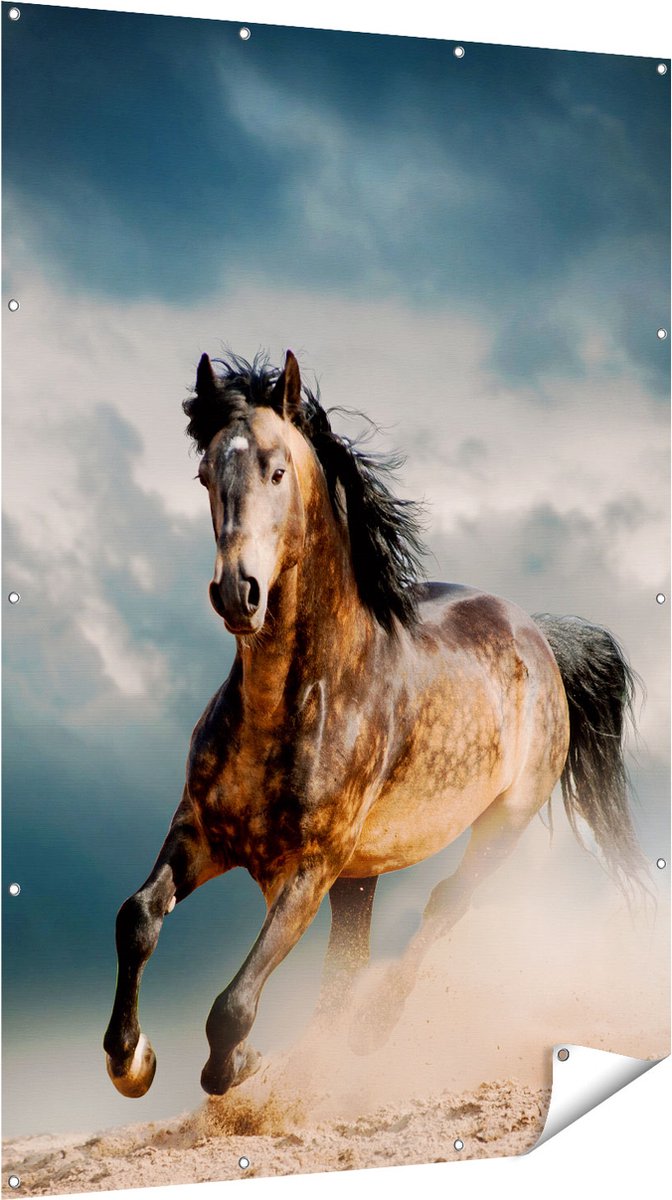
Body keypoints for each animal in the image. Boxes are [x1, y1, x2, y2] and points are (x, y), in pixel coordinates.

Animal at [103, 348, 647, 1099]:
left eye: (277, 470)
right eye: (206, 474)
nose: (238, 593)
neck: (293, 704)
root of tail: (538, 634)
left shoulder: (310, 867)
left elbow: (232, 1006)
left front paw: (238, 1064)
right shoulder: (201, 832)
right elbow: (136, 918)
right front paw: (131, 1059)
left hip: (499, 825)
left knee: (441, 908)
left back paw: (371, 1029)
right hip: (361, 878)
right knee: (349, 963)